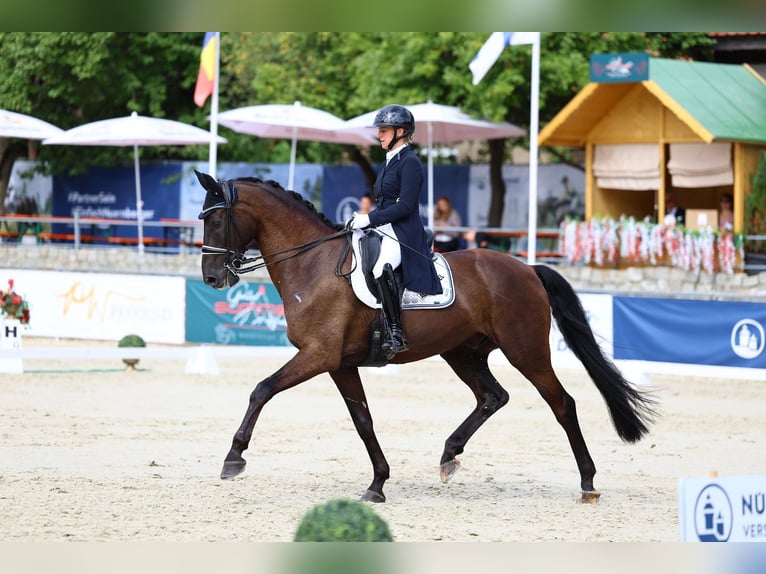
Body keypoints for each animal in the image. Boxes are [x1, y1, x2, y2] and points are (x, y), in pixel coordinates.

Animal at [194, 170, 657, 504]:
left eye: (216, 219)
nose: (213, 278)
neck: (313, 264)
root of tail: (527, 268)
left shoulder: (318, 355)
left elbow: (262, 389)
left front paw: (234, 458)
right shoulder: (339, 363)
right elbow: (363, 421)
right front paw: (377, 484)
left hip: (526, 351)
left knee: (563, 404)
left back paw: (587, 483)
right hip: (463, 353)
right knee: (493, 397)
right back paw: (450, 454)